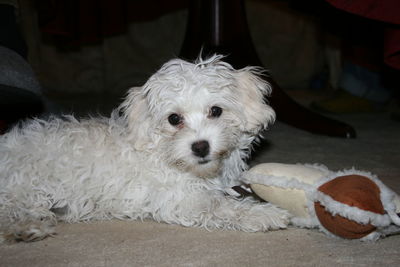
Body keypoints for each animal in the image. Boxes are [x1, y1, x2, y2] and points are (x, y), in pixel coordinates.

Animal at [0, 54, 288, 243]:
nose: (200, 147)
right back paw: (25, 229)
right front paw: (266, 214)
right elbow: (223, 207)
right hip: (21, 187)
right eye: (174, 118)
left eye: (216, 111)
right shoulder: (183, 200)